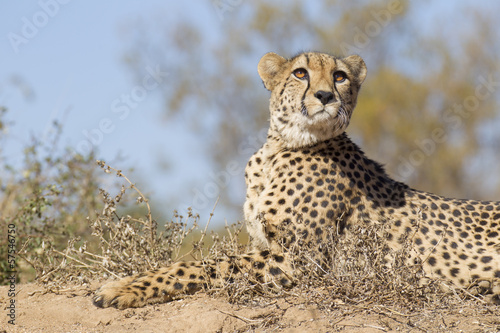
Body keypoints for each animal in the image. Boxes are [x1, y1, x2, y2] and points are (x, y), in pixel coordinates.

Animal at [94, 50, 500, 308]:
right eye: (300, 73)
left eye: (339, 77)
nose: (324, 96)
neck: (281, 148)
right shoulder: (269, 244)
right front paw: (121, 283)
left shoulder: (302, 260)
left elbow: (210, 264)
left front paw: (127, 289)